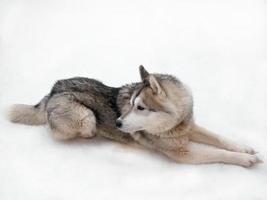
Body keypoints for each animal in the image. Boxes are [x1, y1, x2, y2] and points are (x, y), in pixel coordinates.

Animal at [8, 65, 262, 167]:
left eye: (140, 108)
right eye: (130, 105)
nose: (118, 122)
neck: (173, 125)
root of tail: (52, 90)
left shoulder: (188, 127)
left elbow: (219, 138)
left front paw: (245, 148)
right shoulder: (184, 153)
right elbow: (217, 153)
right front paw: (247, 160)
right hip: (86, 118)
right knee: (63, 131)